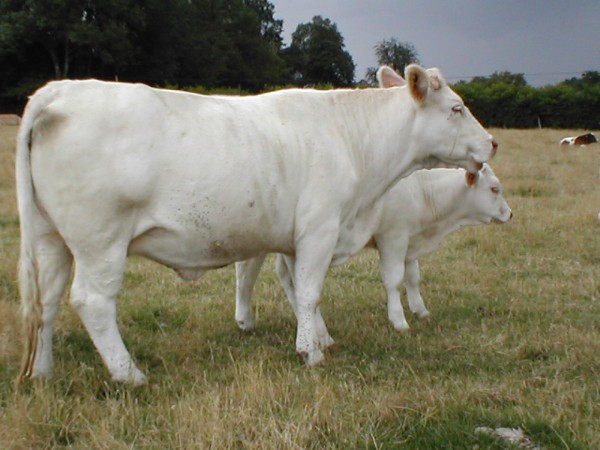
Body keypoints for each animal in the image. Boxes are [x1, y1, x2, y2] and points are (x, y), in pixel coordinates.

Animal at [234, 165, 510, 334]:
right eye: (495, 188)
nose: (510, 214)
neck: (422, 190)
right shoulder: (393, 237)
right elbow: (393, 279)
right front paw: (398, 320)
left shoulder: (409, 239)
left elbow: (413, 277)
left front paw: (420, 309)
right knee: (252, 274)